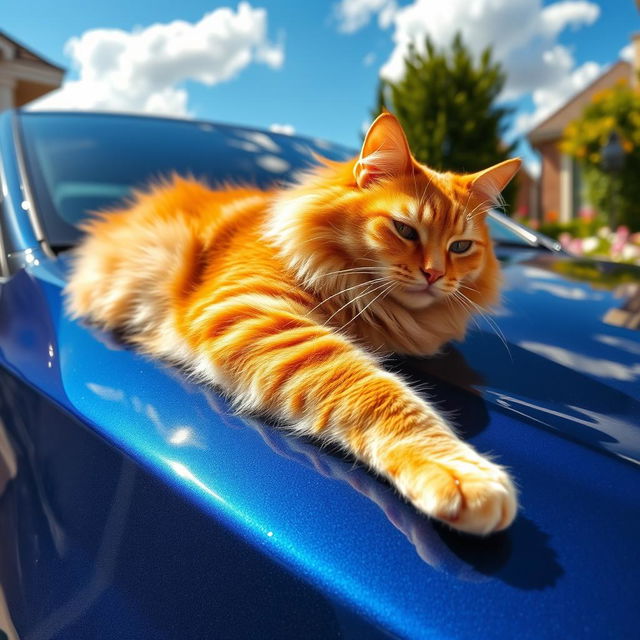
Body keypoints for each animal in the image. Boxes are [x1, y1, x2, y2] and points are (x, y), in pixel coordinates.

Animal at [67, 114, 524, 536]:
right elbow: (379, 392)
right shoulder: (256, 311)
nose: (434, 274)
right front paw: (460, 472)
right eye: (405, 230)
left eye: (460, 247)